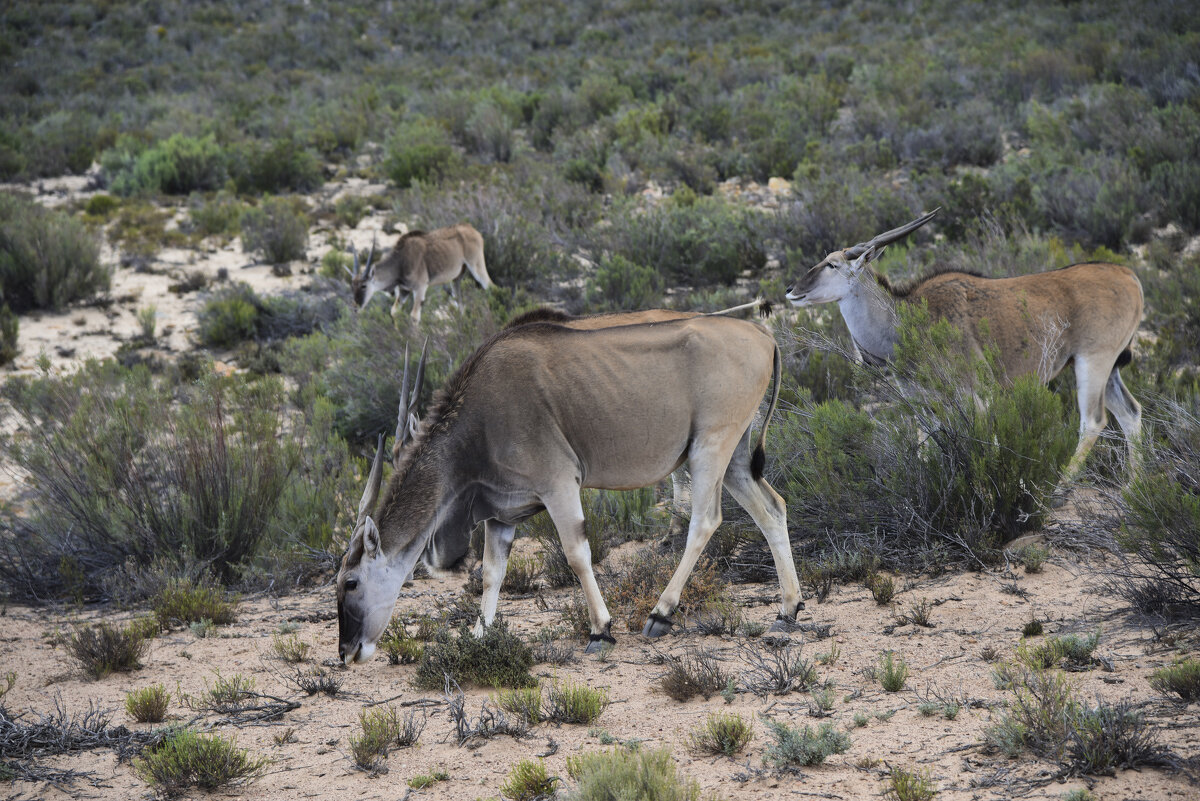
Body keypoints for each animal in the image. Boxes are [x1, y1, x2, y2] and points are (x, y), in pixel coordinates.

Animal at [336, 314, 806, 661]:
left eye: (351, 583)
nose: (347, 652)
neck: (478, 416)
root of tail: (763, 335)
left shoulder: (559, 483)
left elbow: (577, 554)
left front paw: (601, 631)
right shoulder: (502, 512)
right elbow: (491, 573)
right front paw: (479, 635)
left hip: (710, 448)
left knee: (705, 521)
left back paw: (661, 613)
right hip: (736, 459)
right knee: (773, 509)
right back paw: (787, 610)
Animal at [348, 221, 492, 321]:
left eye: (364, 285)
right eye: (352, 286)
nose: (355, 307)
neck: (400, 261)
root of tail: (471, 229)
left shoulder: (420, 288)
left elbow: (414, 317)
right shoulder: (404, 290)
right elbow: (394, 312)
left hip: (476, 265)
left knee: (490, 286)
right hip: (456, 278)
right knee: (460, 303)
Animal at [787, 209, 1142, 482]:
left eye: (832, 265)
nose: (792, 290)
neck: (907, 320)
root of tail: (1128, 276)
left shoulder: (977, 398)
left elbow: (988, 446)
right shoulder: (926, 406)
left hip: (1092, 361)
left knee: (1093, 421)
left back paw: (1058, 489)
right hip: (1107, 369)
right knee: (1131, 413)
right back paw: (1133, 486)